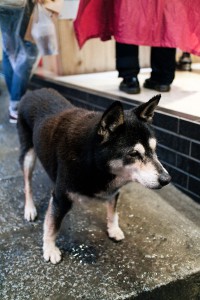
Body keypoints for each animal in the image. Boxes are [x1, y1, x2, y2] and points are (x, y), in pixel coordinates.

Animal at [16, 88, 170, 264]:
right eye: (133, 154)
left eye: (154, 149)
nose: (167, 179)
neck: (96, 164)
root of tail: (33, 91)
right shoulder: (61, 198)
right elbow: (52, 224)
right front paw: (49, 248)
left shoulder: (113, 191)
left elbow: (113, 212)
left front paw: (113, 229)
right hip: (28, 155)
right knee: (27, 184)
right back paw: (29, 208)